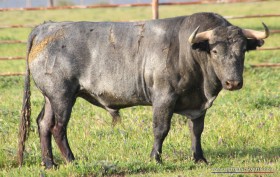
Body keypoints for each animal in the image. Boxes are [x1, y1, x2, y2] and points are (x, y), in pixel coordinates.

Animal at [18, 12, 270, 167]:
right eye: (215, 51)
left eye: (243, 50)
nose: (233, 83)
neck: (188, 52)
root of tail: (47, 27)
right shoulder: (163, 98)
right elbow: (161, 129)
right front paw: (155, 158)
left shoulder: (198, 105)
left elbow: (196, 130)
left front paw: (199, 158)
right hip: (62, 96)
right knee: (58, 127)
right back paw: (71, 160)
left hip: (51, 98)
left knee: (44, 124)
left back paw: (49, 163)